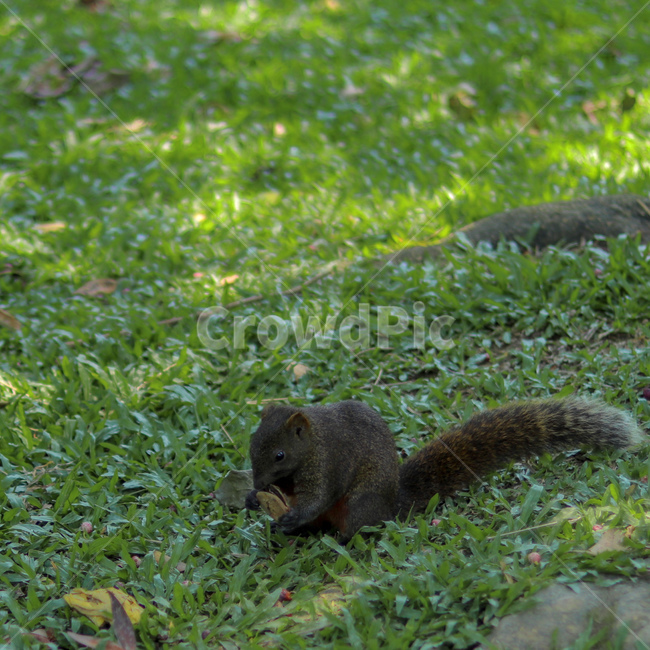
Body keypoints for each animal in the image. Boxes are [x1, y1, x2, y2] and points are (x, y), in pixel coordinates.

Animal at [245, 398, 644, 543]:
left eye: (279, 454)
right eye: (251, 443)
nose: (258, 481)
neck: (312, 444)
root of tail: (393, 504)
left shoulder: (331, 462)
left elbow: (318, 496)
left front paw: (287, 514)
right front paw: (254, 498)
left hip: (361, 506)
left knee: (357, 526)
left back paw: (339, 540)